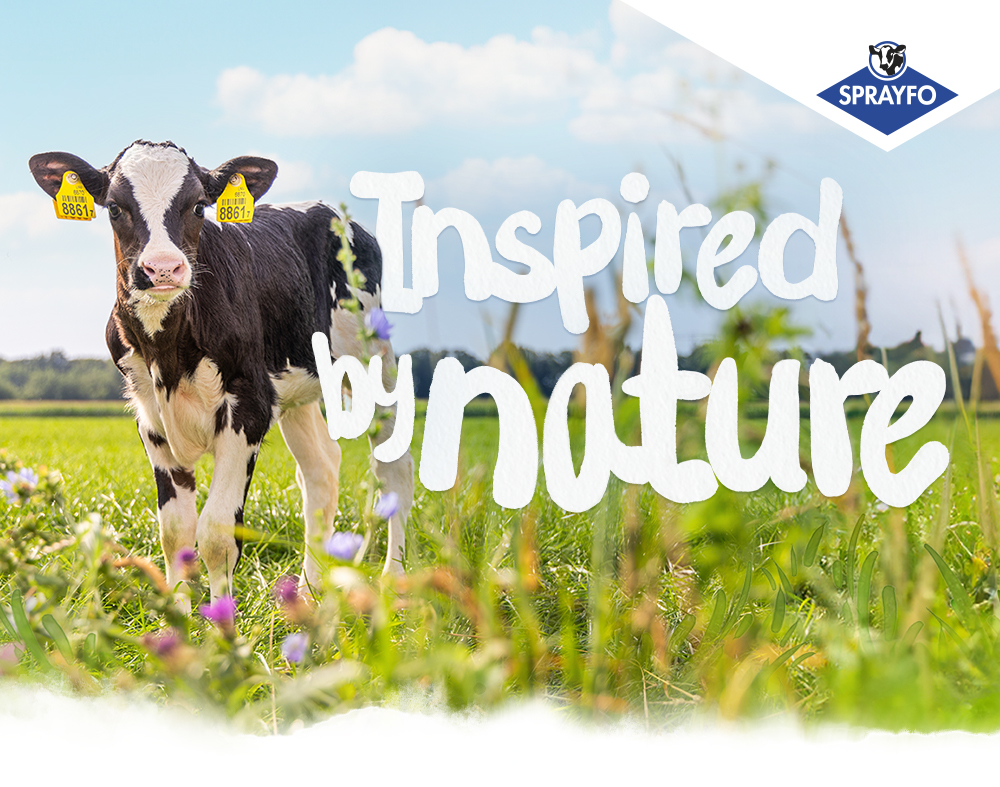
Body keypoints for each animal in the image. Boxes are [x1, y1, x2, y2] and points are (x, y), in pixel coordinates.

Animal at [28, 140, 414, 605]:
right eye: (115, 208)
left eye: (198, 206)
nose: (162, 268)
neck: (168, 354)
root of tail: (330, 211)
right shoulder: (150, 417)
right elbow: (175, 530)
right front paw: (177, 612)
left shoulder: (248, 407)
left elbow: (216, 532)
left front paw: (222, 618)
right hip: (295, 386)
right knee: (321, 468)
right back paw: (309, 589)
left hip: (375, 360)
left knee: (394, 468)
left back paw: (394, 577)